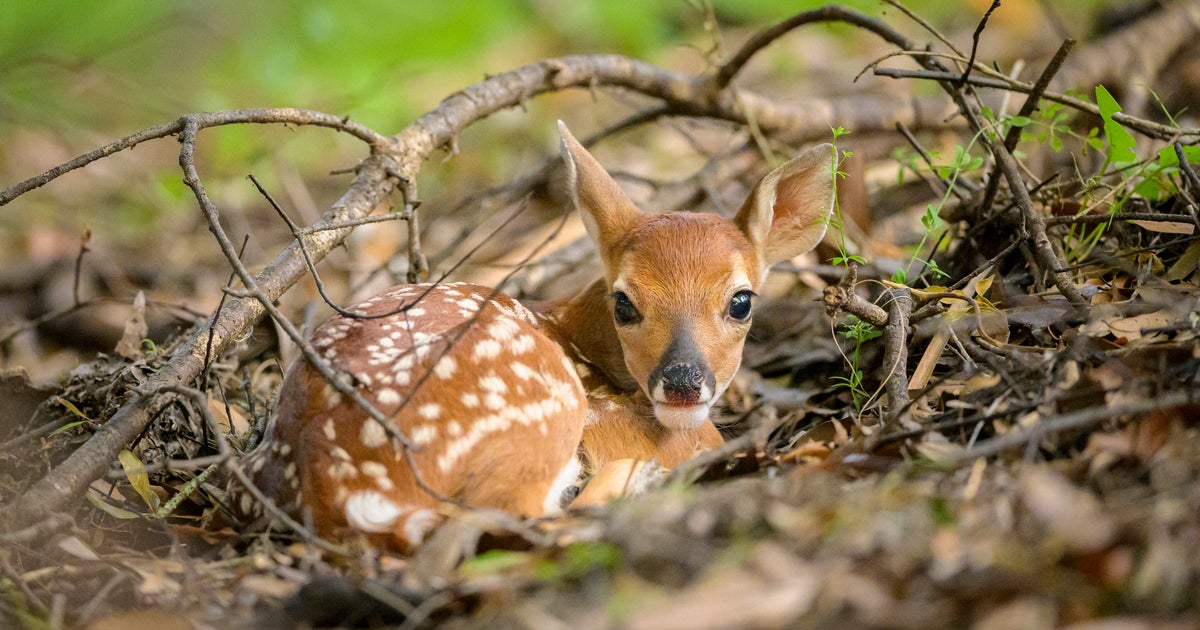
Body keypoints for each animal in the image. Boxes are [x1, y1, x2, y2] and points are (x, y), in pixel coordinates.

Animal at [222, 122, 834, 551]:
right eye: (624, 302)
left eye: (741, 301)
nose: (682, 381)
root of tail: (338, 493)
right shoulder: (611, 420)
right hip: (541, 405)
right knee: (521, 517)